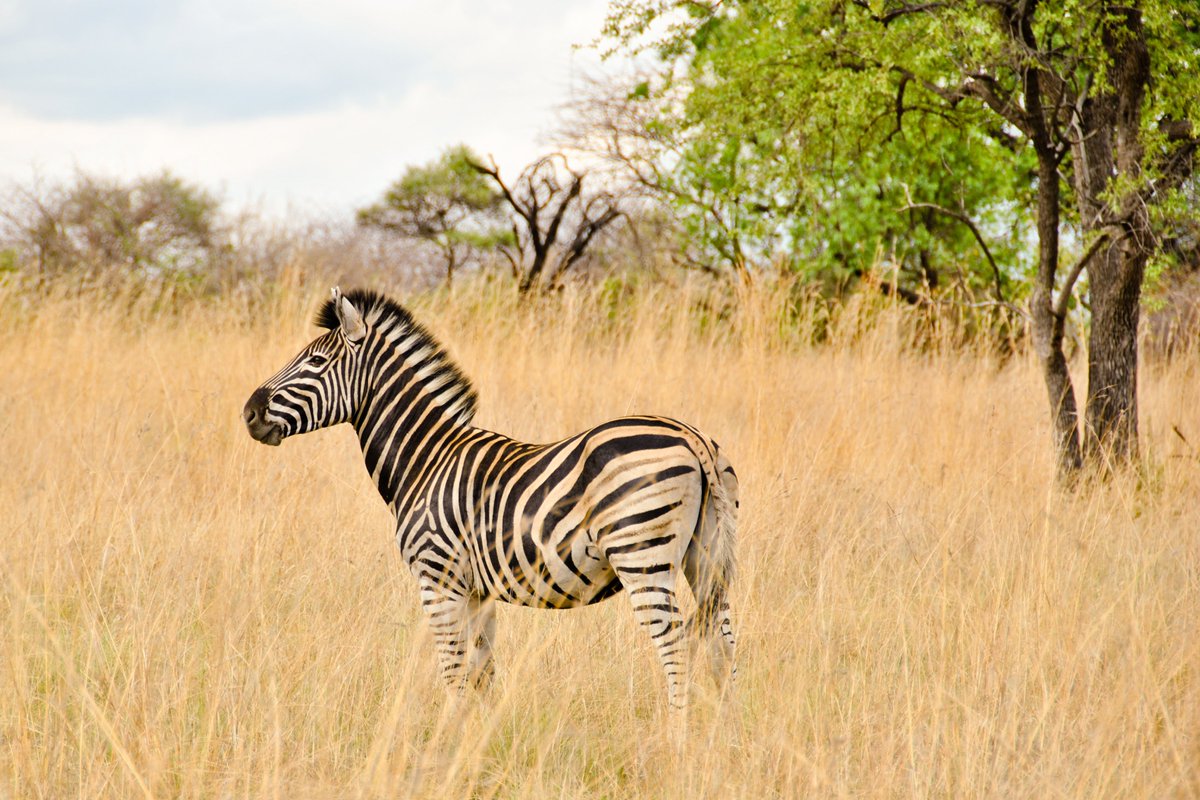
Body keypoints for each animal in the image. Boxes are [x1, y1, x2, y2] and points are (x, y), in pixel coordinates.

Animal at [243, 287, 738, 712]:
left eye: (316, 360)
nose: (249, 412)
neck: (426, 458)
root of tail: (691, 437)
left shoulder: (437, 579)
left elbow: (453, 671)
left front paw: (449, 740)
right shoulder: (477, 591)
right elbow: (483, 673)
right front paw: (480, 741)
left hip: (641, 555)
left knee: (675, 645)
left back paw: (677, 737)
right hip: (706, 556)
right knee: (723, 642)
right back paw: (724, 735)